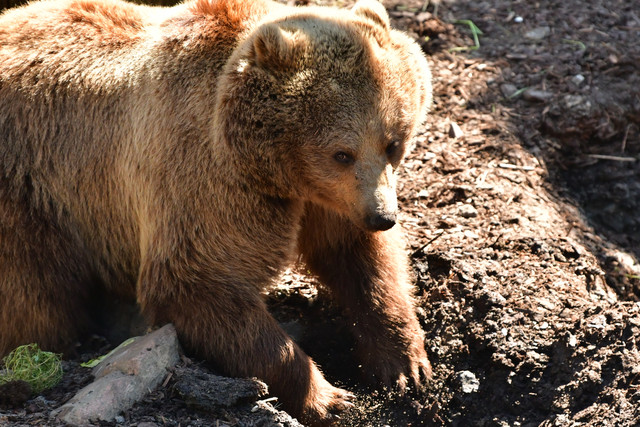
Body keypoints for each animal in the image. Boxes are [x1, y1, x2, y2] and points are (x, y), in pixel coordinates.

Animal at [0, 0, 432, 423]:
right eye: (342, 153)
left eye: (393, 142)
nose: (383, 217)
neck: (280, 171)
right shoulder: (206, 177)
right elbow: (198, 282)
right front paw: (327, 396)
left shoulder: (328, 198)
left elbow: (360, 258)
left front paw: (405, 364)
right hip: (33, 191)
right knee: (35, 291)